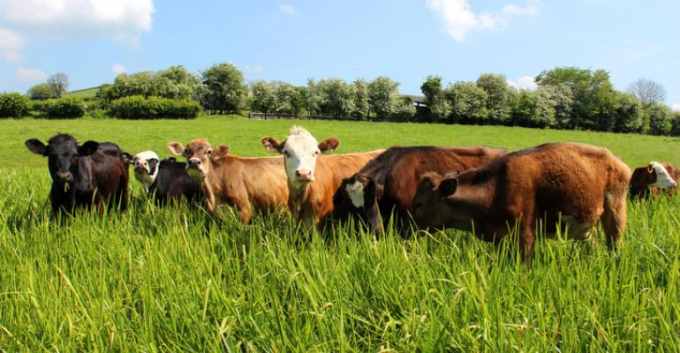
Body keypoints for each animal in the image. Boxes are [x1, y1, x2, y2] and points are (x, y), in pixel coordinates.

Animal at [414, 142, 632, 266]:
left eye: (418, 203)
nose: (406, 229)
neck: (496, 187)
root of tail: (618, 161)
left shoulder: (525, 235)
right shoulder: (502, 238)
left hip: (615, 213)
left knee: (616, 244)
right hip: (585, 223)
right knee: (592, 243)